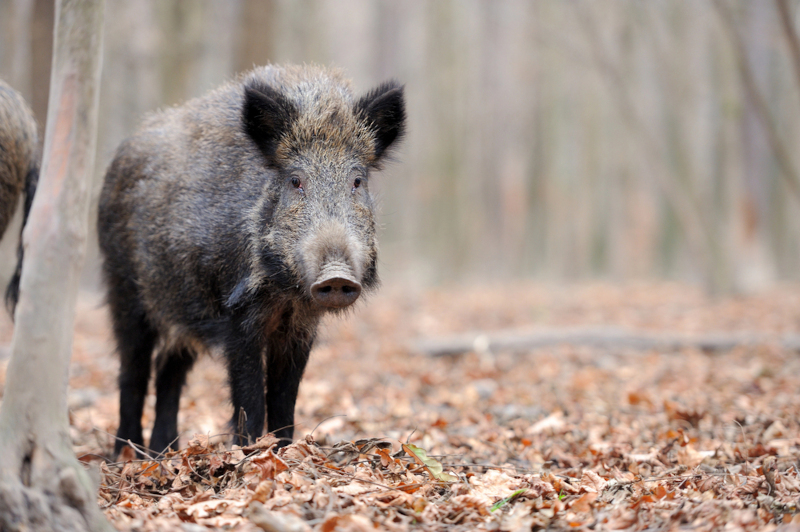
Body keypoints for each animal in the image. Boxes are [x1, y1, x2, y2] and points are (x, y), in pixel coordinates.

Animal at [98, 65, 405, 456]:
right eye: (295, 180)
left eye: (357, 181)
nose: (336, 275)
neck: (285, 293)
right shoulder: (237, 317)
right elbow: (250, 396)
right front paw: (248, 452)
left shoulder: (301, 326)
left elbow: (285, 397)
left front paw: (283, 450)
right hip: (123, 287)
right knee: (132, 371)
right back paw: (127, 455)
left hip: (182, 307)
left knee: (170, 373)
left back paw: (165, 451)